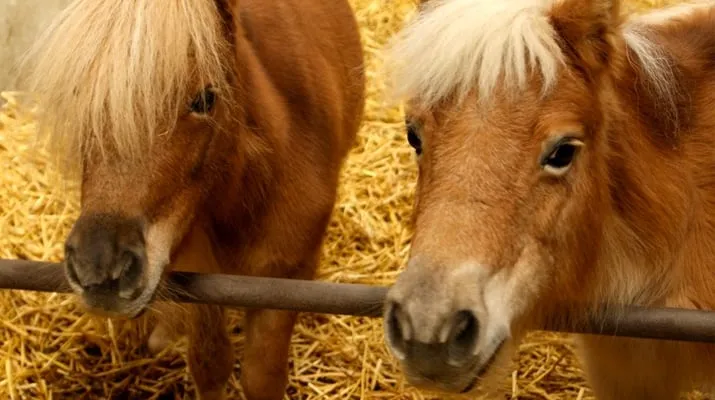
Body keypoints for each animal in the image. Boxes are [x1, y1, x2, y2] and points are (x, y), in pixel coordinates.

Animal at [19, 0, 365, 399]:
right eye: (79, 95)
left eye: (204, 99)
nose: (100, 269)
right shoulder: (197, 283)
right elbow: (210, 365)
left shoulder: (284, 281)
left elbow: (261, 377)